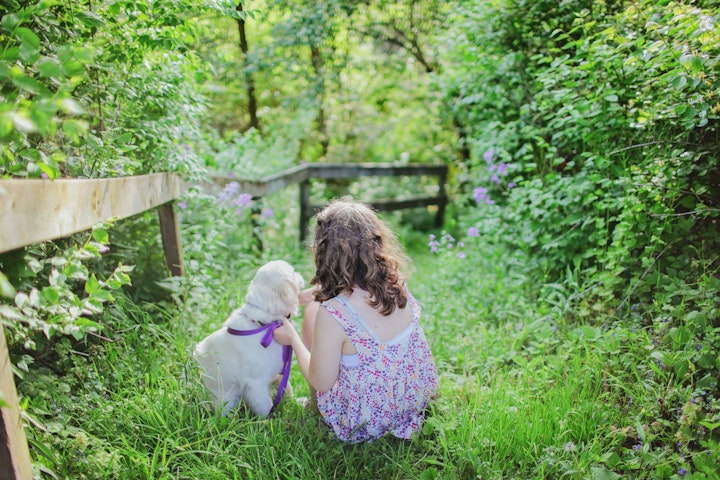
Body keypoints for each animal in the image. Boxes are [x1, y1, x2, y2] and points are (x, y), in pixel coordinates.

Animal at [194, 258, 304, 416]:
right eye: (293, 272)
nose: (301, 274)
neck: (264, 324)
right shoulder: (256, 384)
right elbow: (266, 407)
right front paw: (271, 420)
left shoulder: (279, 372)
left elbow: (288, 389)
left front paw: (297, 403)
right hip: (227, 400)